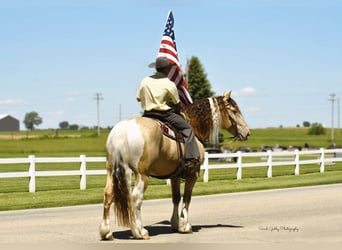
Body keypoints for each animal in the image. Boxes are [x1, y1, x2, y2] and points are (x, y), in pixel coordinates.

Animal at [98, 91, 248, 240]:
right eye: (234, 110)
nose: (247, 132)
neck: (193, 126)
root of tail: (121, 132)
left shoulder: (174, 175)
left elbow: (176, 197)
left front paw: (175, 224)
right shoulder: (193, 173)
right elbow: (187, 197)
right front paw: (185, 226)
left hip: (111, 170)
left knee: (108, 194)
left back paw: (106, 232)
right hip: (142, 174)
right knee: (136, 198)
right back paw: (140, 231)